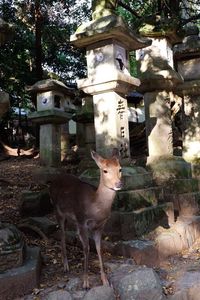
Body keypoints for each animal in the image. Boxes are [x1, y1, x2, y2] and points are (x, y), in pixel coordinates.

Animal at [50, 149, 122, 290]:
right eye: (105, 170)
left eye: (120, 169)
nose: (118, 184)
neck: (95, 208)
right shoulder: (82, 221)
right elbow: (87, 248)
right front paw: (86, 283)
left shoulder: (100, 226)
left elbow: (99, 248)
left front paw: (105, 280)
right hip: (57, 210)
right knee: (62, 234)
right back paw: (65, 266)